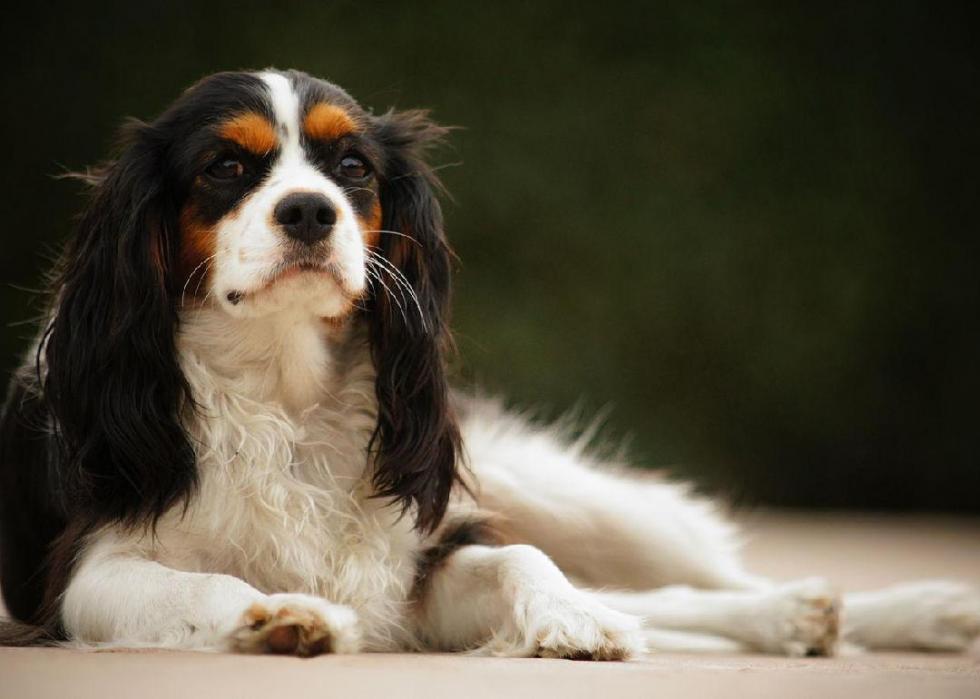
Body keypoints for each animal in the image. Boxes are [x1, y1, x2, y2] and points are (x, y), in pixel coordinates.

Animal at [1, 68, 980, 660]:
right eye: (225, 167)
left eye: (352, 167)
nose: (312, 210)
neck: (284, 388)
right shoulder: (85, 572)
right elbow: (196, 583)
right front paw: (278, 615)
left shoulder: (421, 554)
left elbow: (520, 561)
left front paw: (573, 619)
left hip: (568, 493)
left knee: (675, 578)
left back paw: (867, 609)